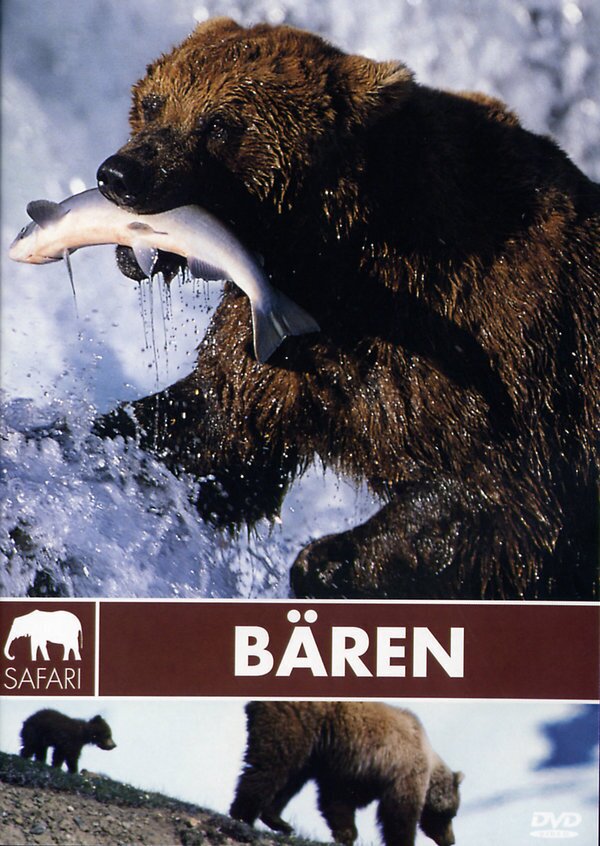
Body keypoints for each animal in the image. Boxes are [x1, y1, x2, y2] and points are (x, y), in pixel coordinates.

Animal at [95, 18, 599, 600]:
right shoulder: (284, 341)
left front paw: (325, 563)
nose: (121, 175)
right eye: (155, 102)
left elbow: (502, 505)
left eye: (219, 125)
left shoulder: (506, 354)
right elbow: (215, 427)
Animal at [229, 700, 462, 846]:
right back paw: (243, 815)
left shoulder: (350, 770)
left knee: (291, 776)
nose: (451, 840)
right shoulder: (401, 771)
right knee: (271, 764)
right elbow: (399, 812)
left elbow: (337, 799)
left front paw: (345, 834)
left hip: (311, 746)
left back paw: (278, 820)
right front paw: (401, 840)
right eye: (451, 814)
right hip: (296, 722)